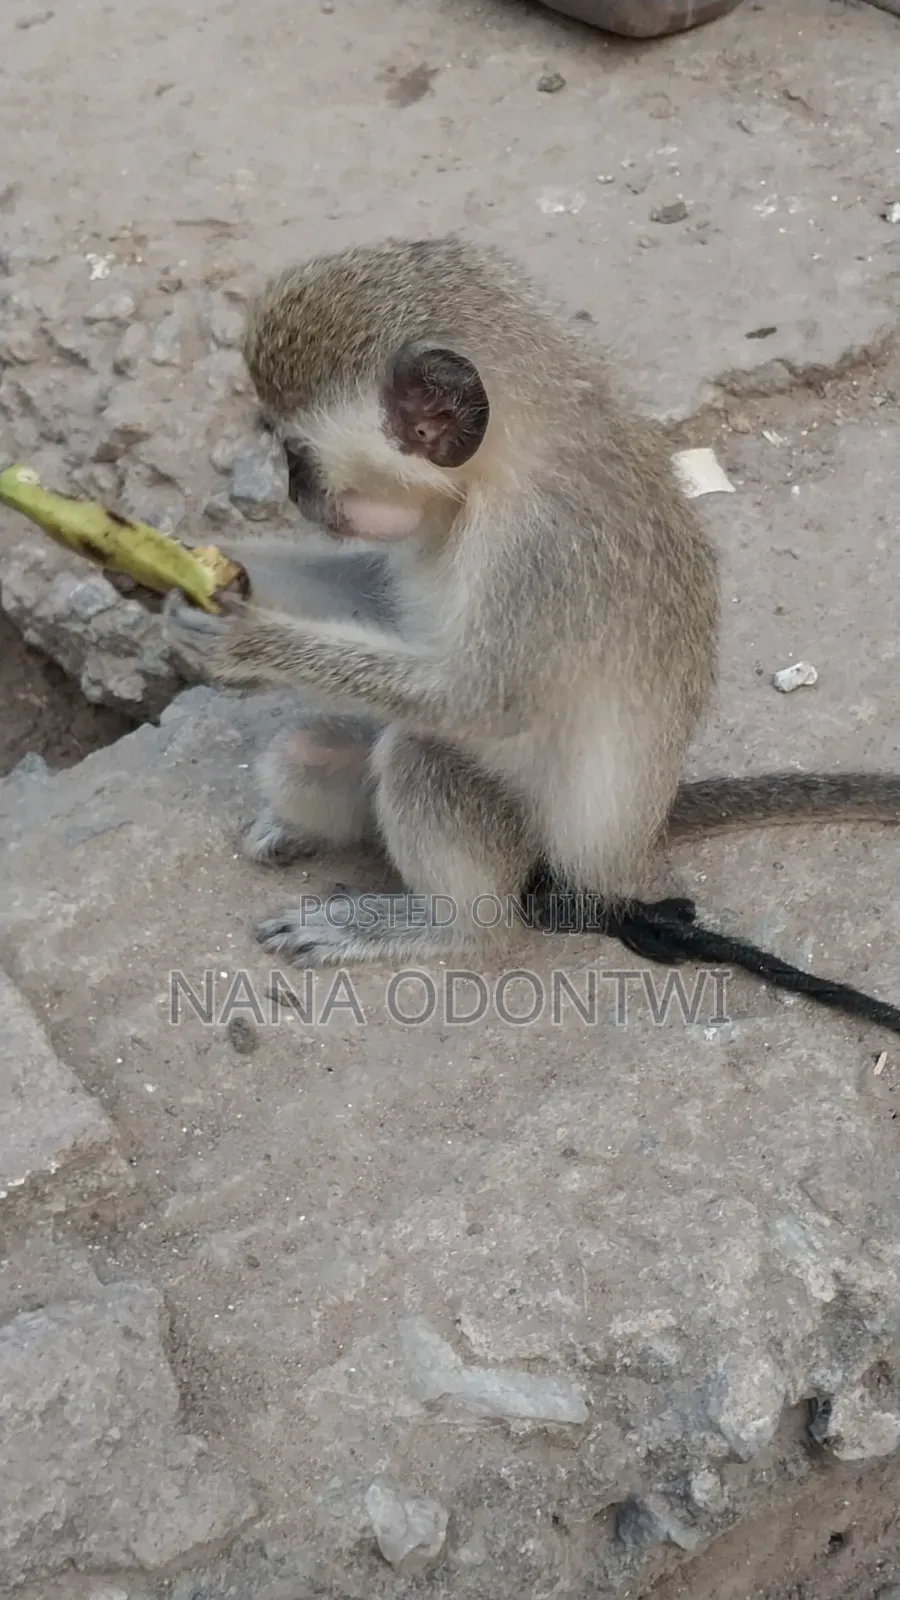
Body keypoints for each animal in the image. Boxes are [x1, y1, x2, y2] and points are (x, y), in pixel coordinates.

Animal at [162, 234, 900, 1033]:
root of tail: (624, 849)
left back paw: (446, 926)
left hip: (533, 848)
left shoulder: (540, 550)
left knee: (425, 755)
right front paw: (203, 572)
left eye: (298, 457)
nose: (298, 495)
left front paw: (246, 644)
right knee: (301, 754)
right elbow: (375, 595)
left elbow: (485, 702)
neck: (490, 480)